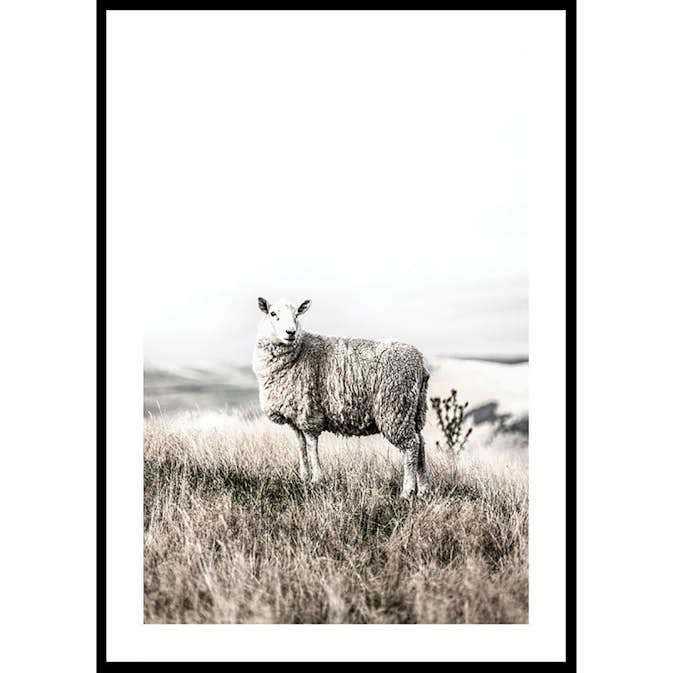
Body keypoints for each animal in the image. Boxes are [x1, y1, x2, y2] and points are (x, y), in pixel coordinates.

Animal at [252, 296, 430, 498]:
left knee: (411, 446)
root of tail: (420, 363)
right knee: (420, 444)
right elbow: (301, 446)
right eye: (273, 313)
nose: (291, 332)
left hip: (395, 407)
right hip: (413, 410)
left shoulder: (309, 411)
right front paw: (303, 476)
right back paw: (423, 490)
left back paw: (407, 491)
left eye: (297, 314)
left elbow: (312, 445)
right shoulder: (295, 416)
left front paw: (316, 479)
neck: (299, 352)